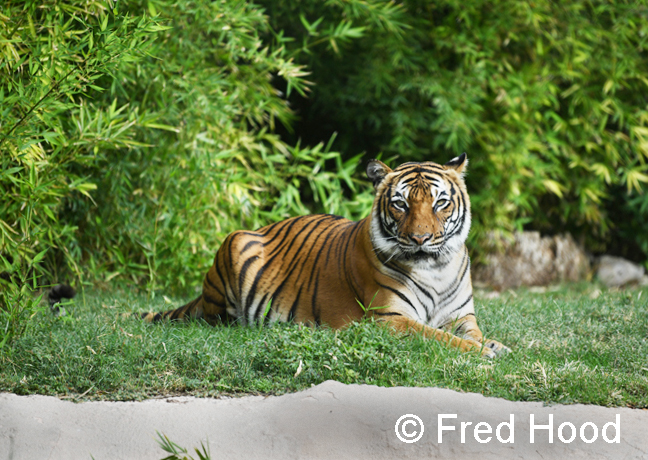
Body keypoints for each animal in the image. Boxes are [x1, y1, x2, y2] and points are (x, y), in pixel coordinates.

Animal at [139, 153, 510, 358]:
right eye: (400, 204)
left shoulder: (462, 317)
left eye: (440, 203)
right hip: (233, 243)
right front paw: (481, 352)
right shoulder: (388, 319)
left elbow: (471, 333)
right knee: (218, 319)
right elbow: (438, 337)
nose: (421, 238)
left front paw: (494, 345)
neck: (436, 269)